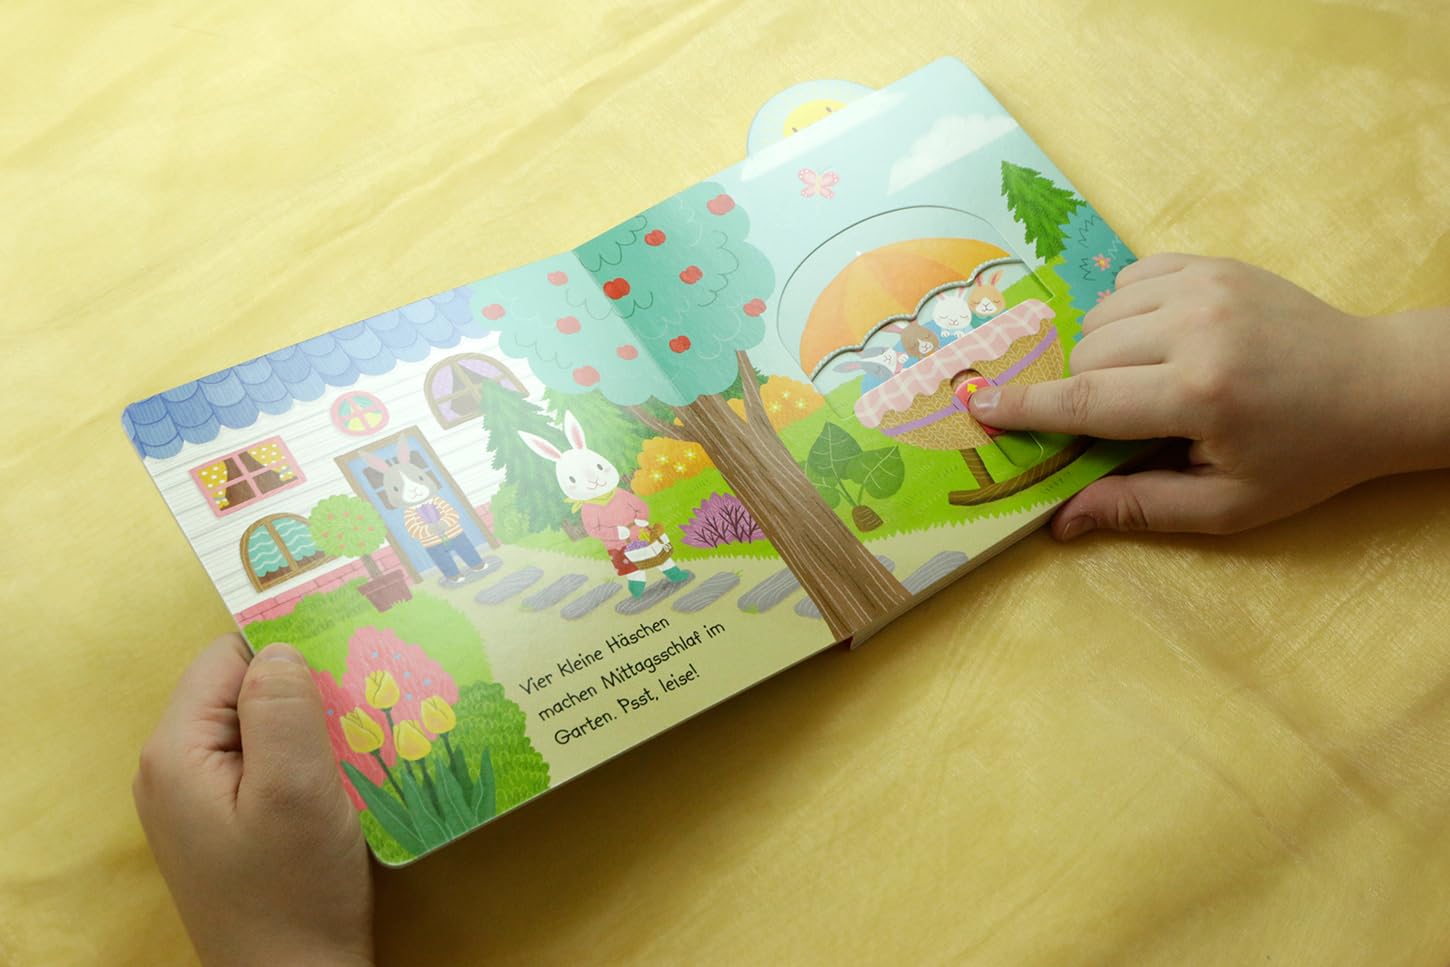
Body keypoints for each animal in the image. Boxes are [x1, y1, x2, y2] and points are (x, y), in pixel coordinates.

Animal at [362, 436, 487, 586]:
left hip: (460, 541)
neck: (422, 504)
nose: (414, 490)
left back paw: (479, 567)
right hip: (437, 553)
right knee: (445, 562)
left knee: (467, 550)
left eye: (421, 477)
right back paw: (456, 578)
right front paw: (433, 527)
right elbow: (415, 529)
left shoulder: (442, 504)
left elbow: (451, 514)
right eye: (395, 488)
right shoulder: (409, 518)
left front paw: (440, 524)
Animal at [519, 411, 688, 596]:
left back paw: (678, 576)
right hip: (620, 557)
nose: (594, 481)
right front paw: (623, 530)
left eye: (599, 466)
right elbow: (596, 530)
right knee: (633, 571)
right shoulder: (589, 516)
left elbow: (640, 508)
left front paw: (640, 522)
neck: (603, 497)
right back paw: (636, 591)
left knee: (663, 563)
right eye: (571, 479)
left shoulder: (625, 496)